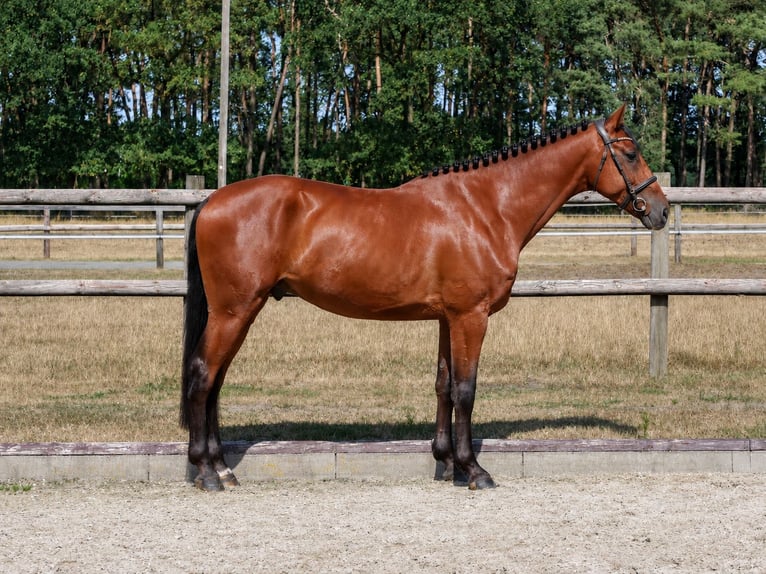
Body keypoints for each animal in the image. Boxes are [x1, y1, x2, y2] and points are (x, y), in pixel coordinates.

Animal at [180, 104, 669, 491]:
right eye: (630, 152)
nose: (661, 210)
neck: (485, 207)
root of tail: (211, 201)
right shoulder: (472, 316)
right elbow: (467, 390)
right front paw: (474, 470)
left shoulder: (447, 318)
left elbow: (444, 386)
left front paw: (447, 462)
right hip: (234, 310)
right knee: (204, 376)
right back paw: (207, 472)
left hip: (241, 311)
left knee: (215, 381)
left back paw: (221, 467)